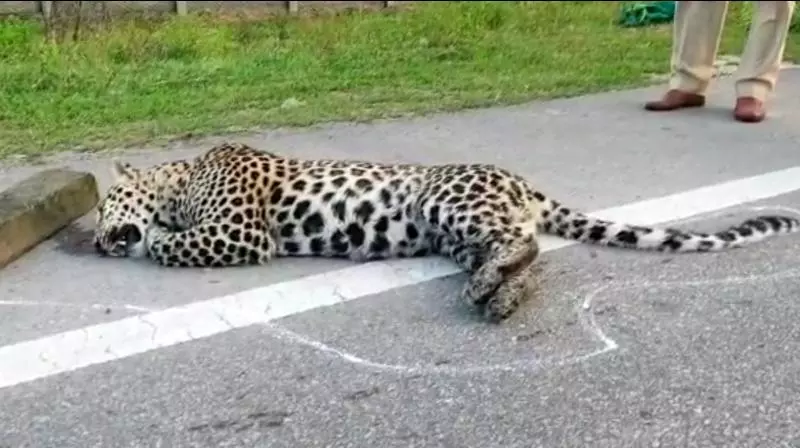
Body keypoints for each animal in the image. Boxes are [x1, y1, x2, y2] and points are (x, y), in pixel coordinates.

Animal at [93, 142, 800, 322]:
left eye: (102, 210)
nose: (97, 244)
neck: (181, 176)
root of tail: (519, 180)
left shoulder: (241, 232)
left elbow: (173, 244)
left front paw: (151, 238)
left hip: (445, 202)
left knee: (527, 244)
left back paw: (491, 290)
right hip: (450, 234)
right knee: (527, 256)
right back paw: (499, 292)